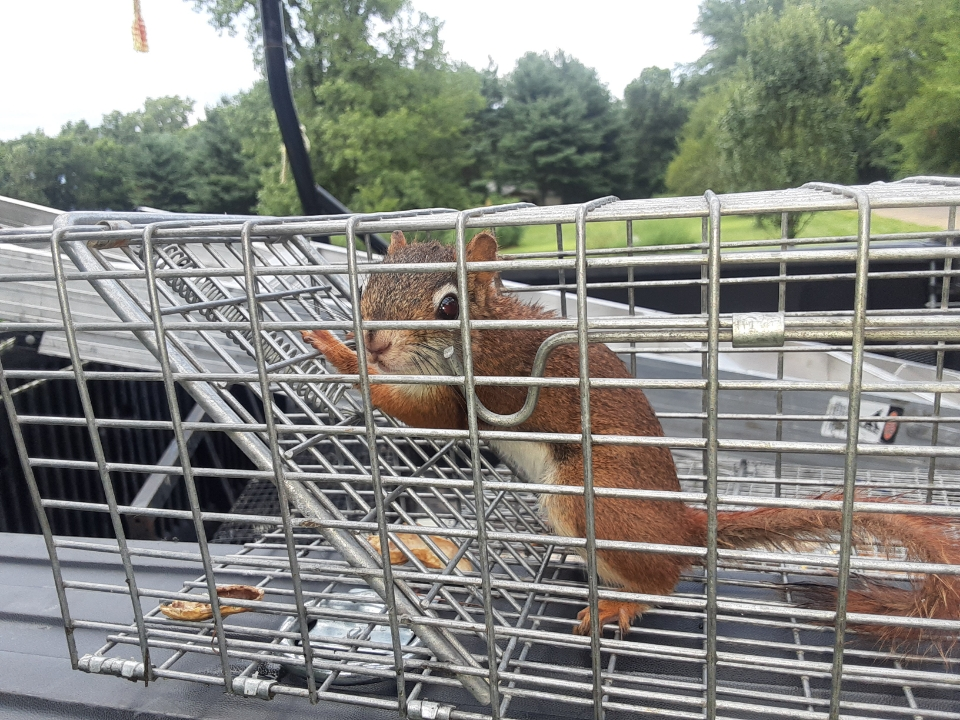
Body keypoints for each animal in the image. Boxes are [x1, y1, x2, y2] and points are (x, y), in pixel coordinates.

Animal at [306, 229, 960, 648]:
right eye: (367, 285)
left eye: (447, 306)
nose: (375, 340)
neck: (484, 332)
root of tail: (683, 528)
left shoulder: (480, 391)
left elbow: (422, 415)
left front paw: (340, 353)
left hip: (586, 496)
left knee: (663, 581)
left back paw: (623, 599)